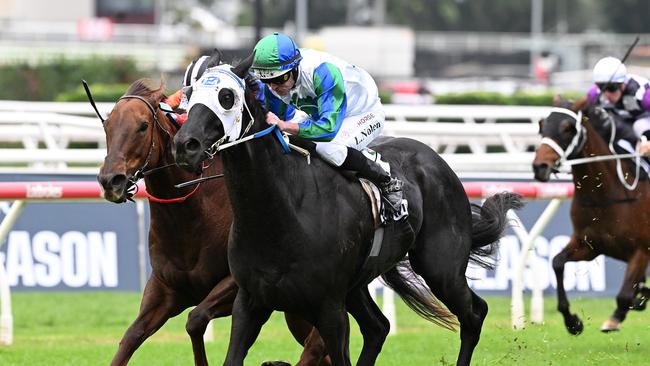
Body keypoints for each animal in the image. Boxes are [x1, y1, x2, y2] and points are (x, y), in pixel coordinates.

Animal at [94, 76, 330, 364]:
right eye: (107, 125)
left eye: (142, 126)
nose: (110, 180)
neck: (191, 218)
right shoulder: (165, 288)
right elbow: (130, 338)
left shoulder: (238, 285)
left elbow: (195, 319)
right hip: (296, 311)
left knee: (316, 344)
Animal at [172, 55, 520, 366]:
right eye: (189, 93)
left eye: (226, 97)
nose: (185, 144)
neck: (281, 216)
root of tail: (436, 160)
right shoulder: (250, 300)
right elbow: (233, 356)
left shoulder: (329, 308)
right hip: (357, 286)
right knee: (378, 327)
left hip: (440, 268)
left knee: (474, 313)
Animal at [532, 97, 648, 334]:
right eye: (542, 125)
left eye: (567, 128)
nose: (540, 167)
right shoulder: (589, 245)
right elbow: (557, 262)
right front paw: (572, 321)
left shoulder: (641, 250)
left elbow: (624, 295)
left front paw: (615, 318)